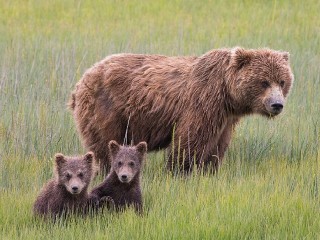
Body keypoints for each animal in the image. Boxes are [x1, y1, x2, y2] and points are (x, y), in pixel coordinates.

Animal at [69, 47, 294, 174]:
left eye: (282, 81)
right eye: (264, 82)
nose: (277, 105)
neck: (227, 94)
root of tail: (82, 80)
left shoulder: (226, 118)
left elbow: (217, 146)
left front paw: (209, 169)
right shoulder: (203, 102)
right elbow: (190, 140)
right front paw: (180, 170)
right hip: (107, 108)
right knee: (106, 144)